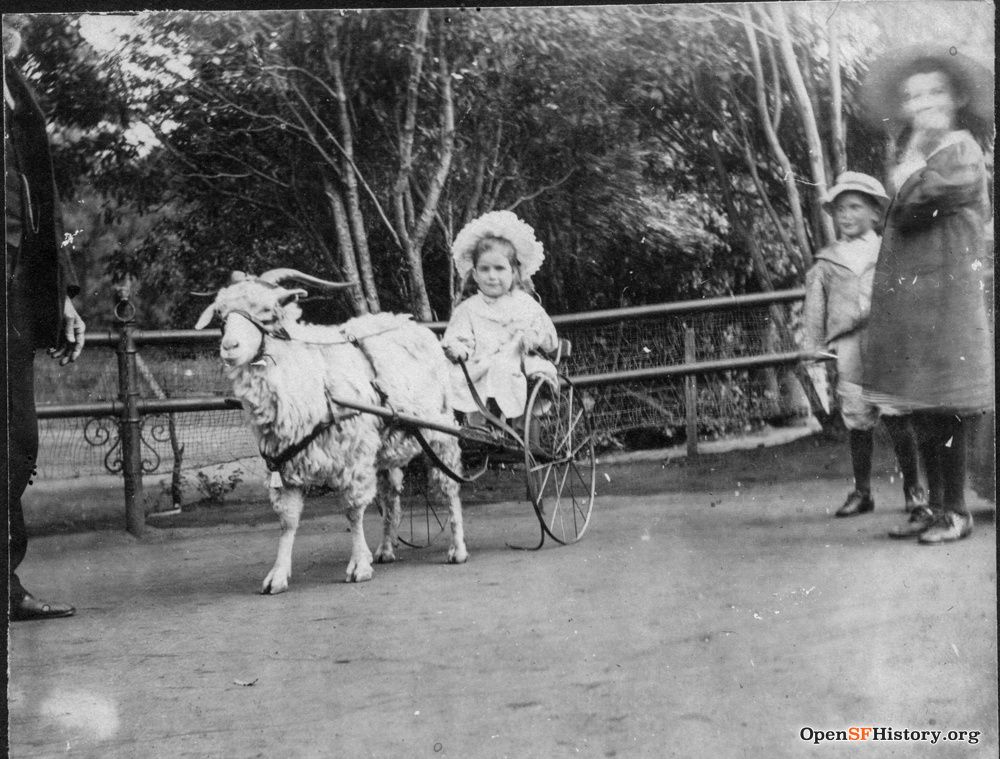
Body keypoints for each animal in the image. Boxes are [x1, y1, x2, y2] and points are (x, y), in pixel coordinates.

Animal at [195, 270, 468, 596]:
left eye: (268, 311)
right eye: (221, 315)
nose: (230, 347)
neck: (313, 378)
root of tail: (418, 327)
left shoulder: (355, 456)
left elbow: (353, 511)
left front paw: (358, 566)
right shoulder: (284, 464)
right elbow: (288, 521)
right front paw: (277, 576)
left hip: (439, 432)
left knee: (449, 486)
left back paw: (457, 549)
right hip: (387, 445)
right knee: (391, 496)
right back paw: (386, 549)